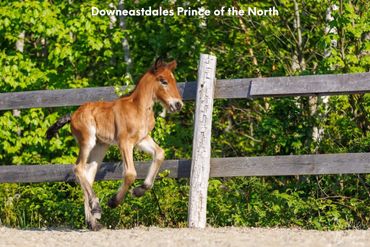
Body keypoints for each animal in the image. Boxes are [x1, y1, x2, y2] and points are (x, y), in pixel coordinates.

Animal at [47, 58, 183, 231]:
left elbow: (160, 154)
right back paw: (96, 208)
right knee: (78, 168)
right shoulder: (124, 142)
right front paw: (113, 201)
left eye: (174, 80)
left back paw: (93, 222)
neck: (139, 109)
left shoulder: (142, 140)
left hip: (100, 147)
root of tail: (73, 115)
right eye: (164, 81)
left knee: (87, 174)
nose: (178, 104)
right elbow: (130, 173)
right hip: (88, 141)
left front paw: (139, 191)